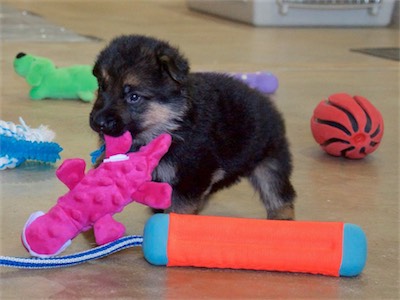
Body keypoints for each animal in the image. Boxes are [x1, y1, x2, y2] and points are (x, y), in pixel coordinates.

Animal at [91, 34, 296, 218]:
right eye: (101, 87)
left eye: (133, 97)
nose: (98, 122)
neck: (170, 124)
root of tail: (268, 104)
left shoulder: (191, 176)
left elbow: (178, 208)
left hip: (269, 161)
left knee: (279, 194)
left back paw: (282, 219)